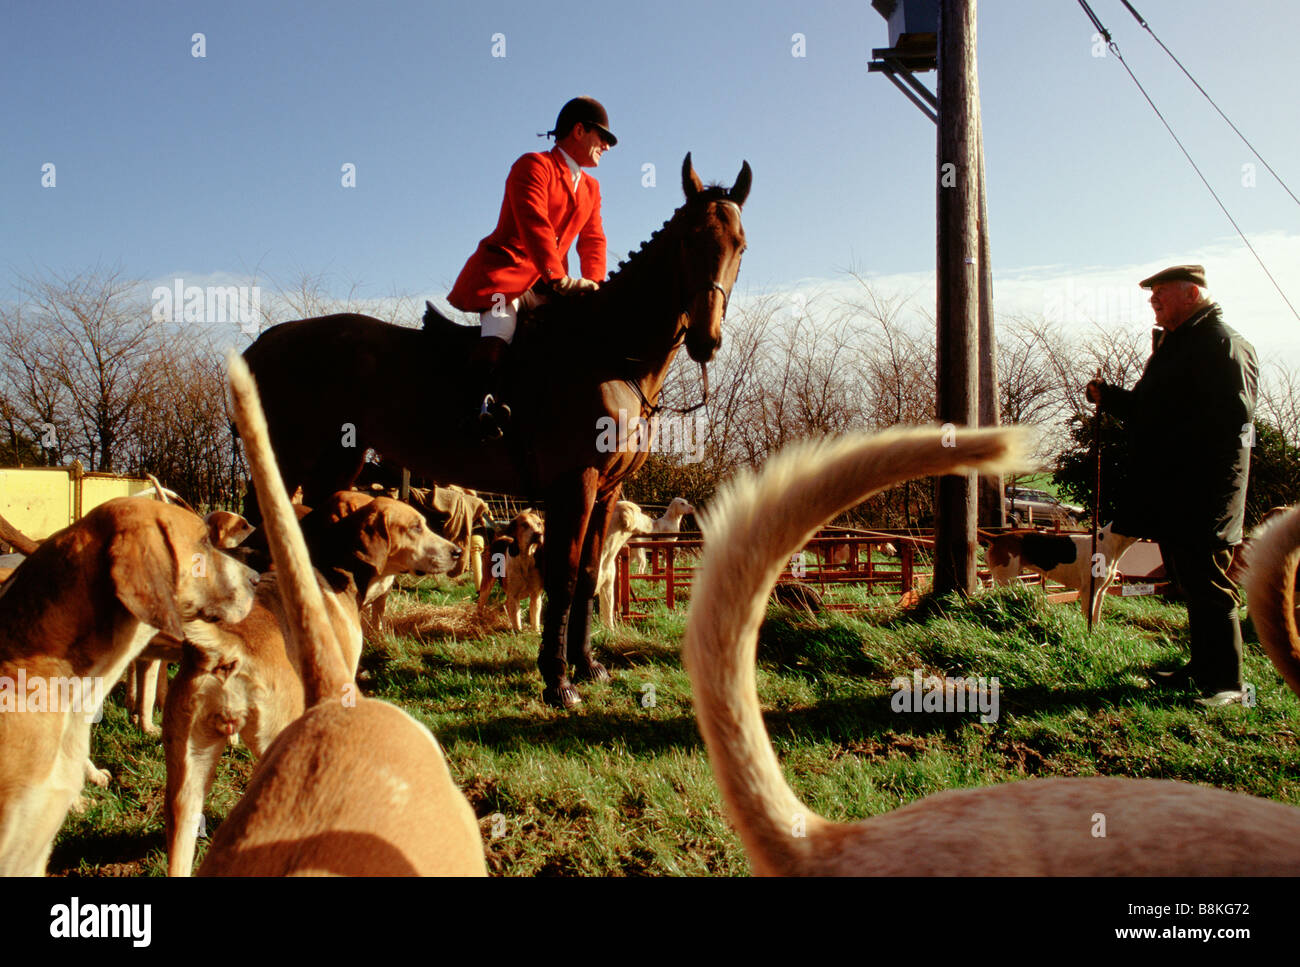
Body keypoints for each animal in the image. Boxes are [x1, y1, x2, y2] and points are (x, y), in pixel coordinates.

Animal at [241, 154, 754, 707]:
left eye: (740, 245)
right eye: (688, 240)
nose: (706, 340)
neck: (607, 354)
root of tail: (262, 343)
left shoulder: (608, 488)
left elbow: (588, 575)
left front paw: (587, 665)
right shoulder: (575, 483)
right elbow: (564, 576)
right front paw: (558, 680)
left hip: (339, 462)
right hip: (288, 458)